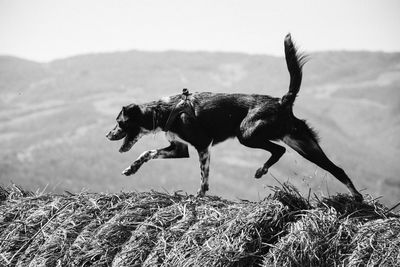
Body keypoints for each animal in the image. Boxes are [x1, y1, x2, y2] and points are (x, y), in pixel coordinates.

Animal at [105, 33, 362, 201]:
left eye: (119, 123)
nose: (107, 135)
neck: (165, 110)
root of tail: (282, 101)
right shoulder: (179, 148)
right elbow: (147, 153)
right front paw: (131, 169)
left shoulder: (202, 145)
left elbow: (203, 175)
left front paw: (200, 195)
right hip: (304, 143)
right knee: (337, 169)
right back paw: (357, 197)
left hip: (247, 135)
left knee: (279, 150)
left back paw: (261, 170)